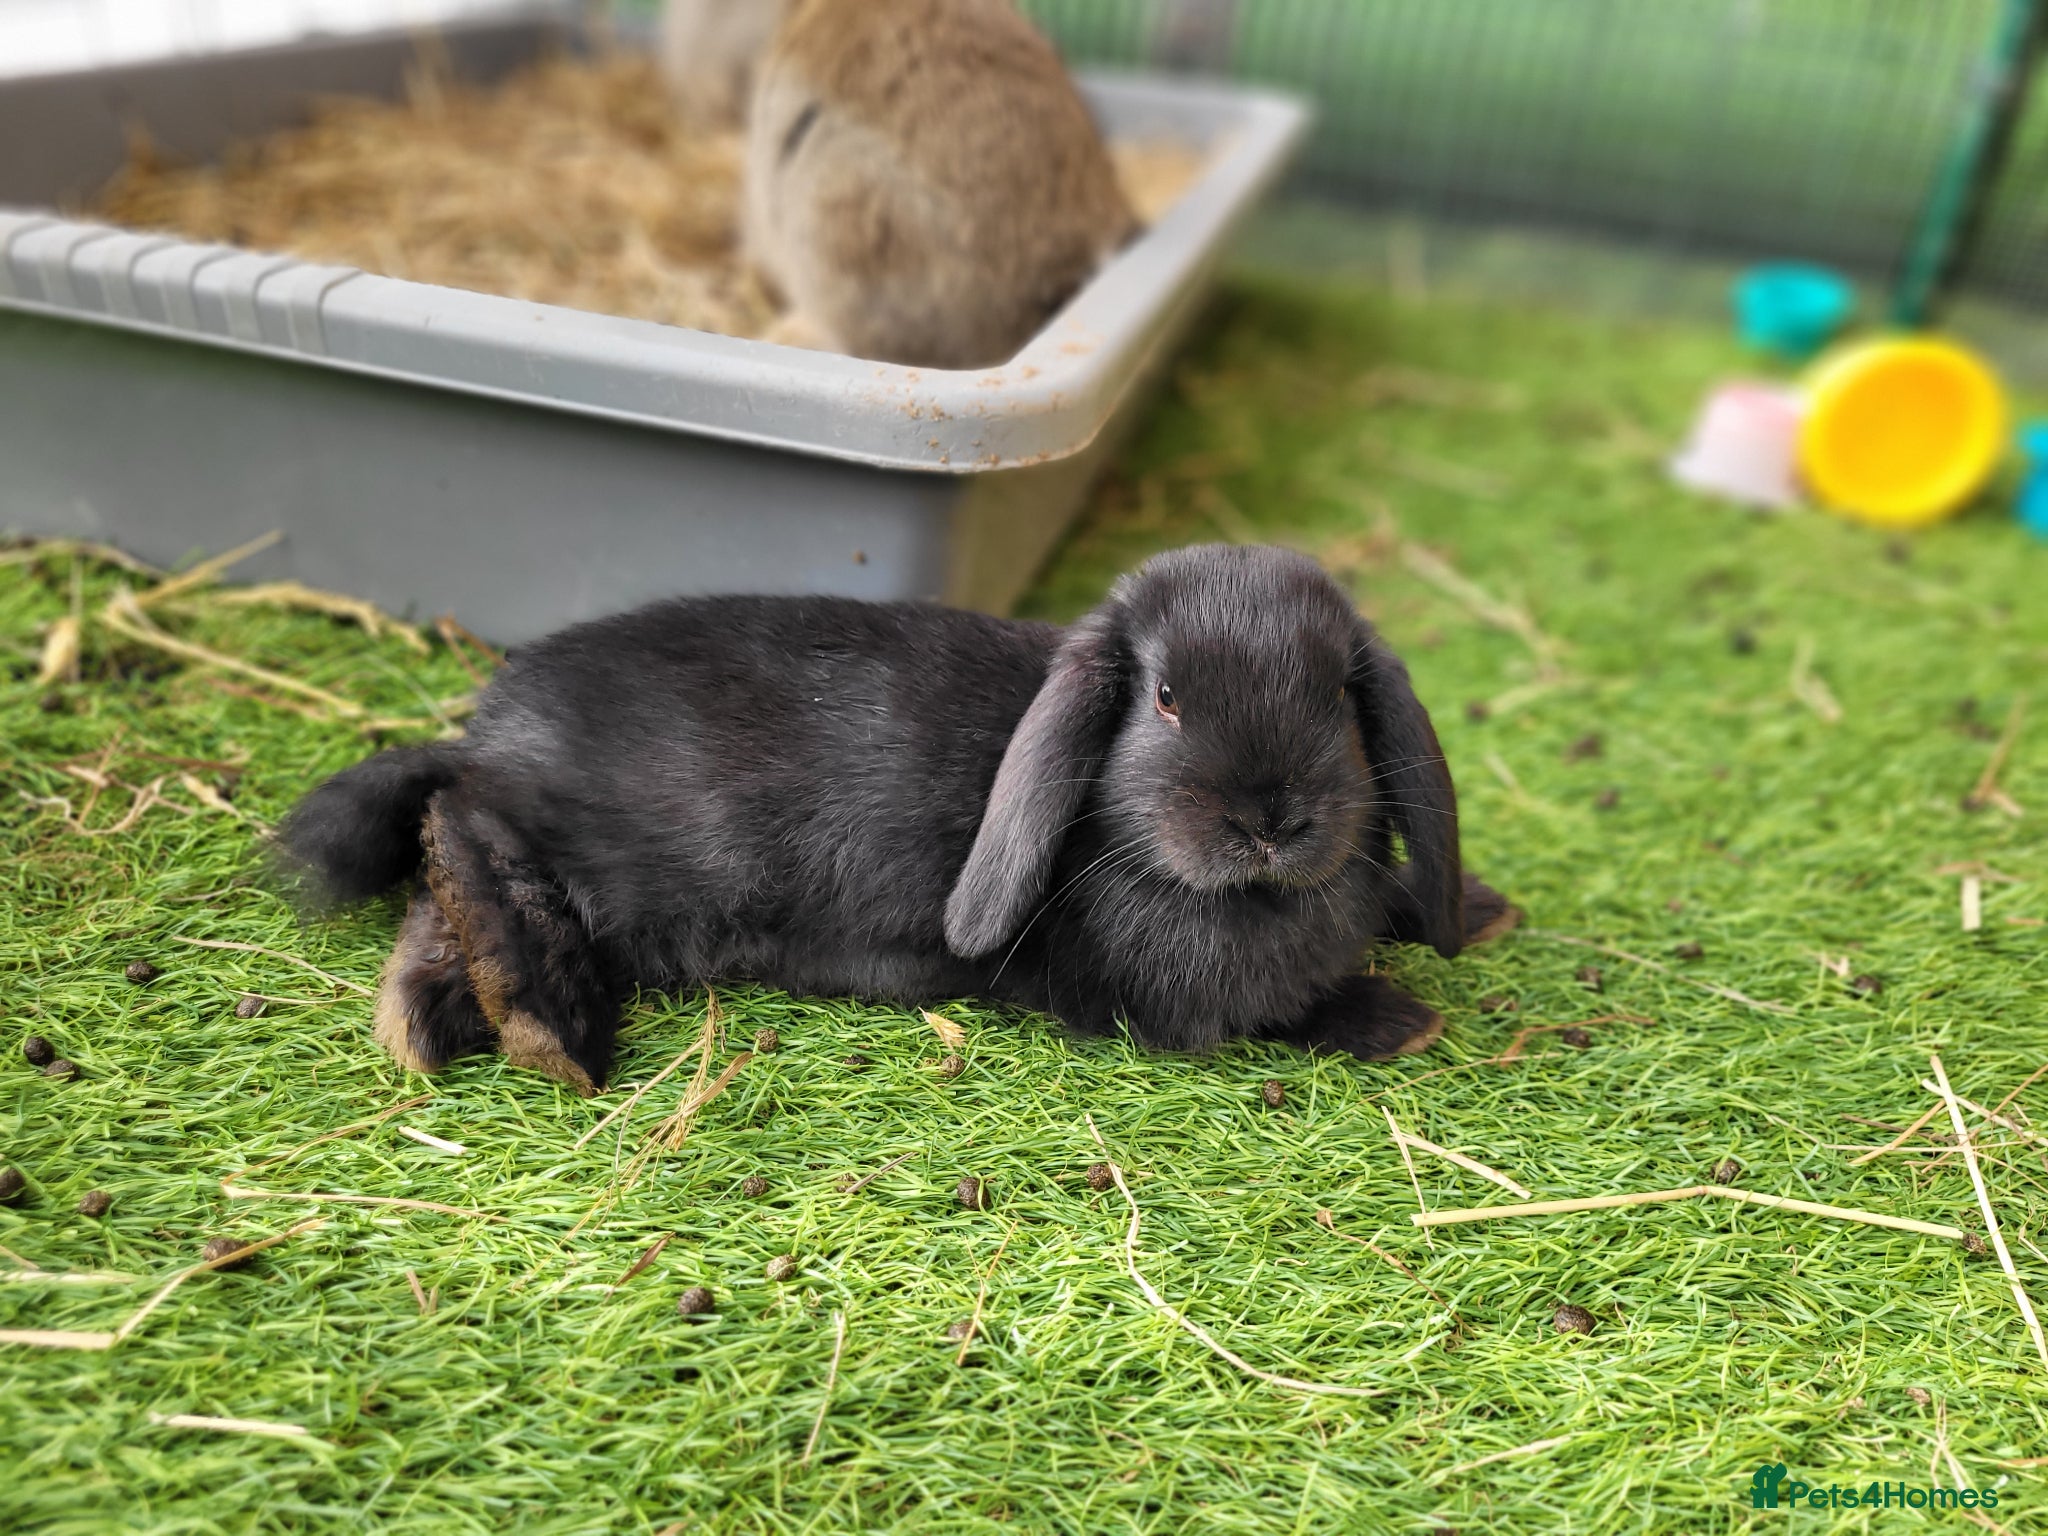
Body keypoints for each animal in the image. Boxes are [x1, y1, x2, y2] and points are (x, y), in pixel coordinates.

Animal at [279, 544, 1518, 1096]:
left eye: (1334, 698)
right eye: (1166, 698)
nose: (1267, 819)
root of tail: (491, 732)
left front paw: (1471, 908)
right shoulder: (1151, 996)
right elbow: (1273, 1013)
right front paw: (1393, 1017)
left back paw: (433, 1023)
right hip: (611, 860)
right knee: (466, 830)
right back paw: (548, 1022)